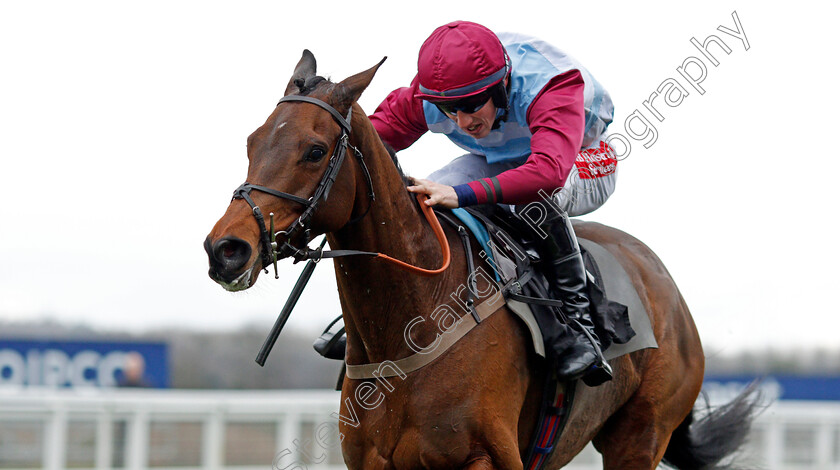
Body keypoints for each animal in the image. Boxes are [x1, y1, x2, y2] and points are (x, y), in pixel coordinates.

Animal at [203, 49, 756, 468]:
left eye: (315, 151)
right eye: (252, 141)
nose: (226, 249)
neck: (411, 323)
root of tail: (663, 281)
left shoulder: (484, 456)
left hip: (641, 435)